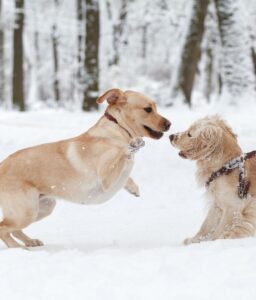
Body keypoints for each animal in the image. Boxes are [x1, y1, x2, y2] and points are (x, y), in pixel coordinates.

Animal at [0, 88, 171, 247]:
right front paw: (130, 148)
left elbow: (128, 174)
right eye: (148, 109)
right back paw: (17, 248)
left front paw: (133, 188)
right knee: (3, 228)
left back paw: (30, 242)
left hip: (43, 208)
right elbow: (124, 153)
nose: (169, 124)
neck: (117, 129)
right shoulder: (106, 178)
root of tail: (2, 165)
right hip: (26, 211)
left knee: (14, 229)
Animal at [170, 116, 256, 245]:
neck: (226, 167)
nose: (170, 136)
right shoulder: (217, 203)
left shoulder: (233, 207)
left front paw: (215, 242)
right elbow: (206, 226)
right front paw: (194, 240)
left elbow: (220, 230)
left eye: (190, 134)